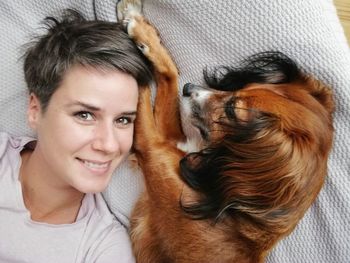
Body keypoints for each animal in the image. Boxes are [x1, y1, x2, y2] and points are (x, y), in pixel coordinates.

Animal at [119, 1, 334, 262]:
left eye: (232, 109)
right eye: (244, 86)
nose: (188, 89)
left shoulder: (152, 148)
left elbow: (145, 82)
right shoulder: (170, 142)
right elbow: (170, 76)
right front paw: (140, 25)